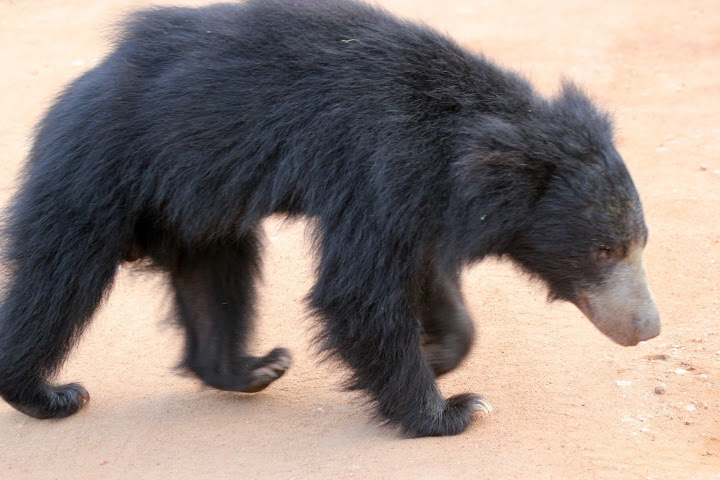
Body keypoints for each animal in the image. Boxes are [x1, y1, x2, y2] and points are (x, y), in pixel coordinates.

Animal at [0, 0, 660, 436]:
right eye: (604, 250)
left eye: (640, 243)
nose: (648, 328)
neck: (458, 135)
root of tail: (81, 85)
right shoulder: (376, 163)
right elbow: (358, 288)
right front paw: (449, 409)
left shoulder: (418, 195)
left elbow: (424, 271)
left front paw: (438, 352)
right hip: (97, 173)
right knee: (59, 280)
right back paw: (47, 394)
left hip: (194, 209)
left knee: (217, 278)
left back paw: (253, 368)